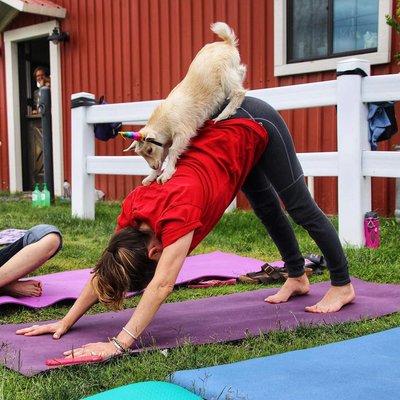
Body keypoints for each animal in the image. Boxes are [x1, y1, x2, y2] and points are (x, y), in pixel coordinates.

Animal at [125, 21, 247, 184]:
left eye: (149, 149)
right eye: (141, 154)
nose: (153, 166)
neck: (165, 119)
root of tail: (227, 42)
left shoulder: (182, 133)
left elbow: (172, 151)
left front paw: (166, 174)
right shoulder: (164, 142)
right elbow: (164, 154)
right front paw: (151, 177)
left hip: (225, 74)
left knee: (239, 92)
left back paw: (222, 115)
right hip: (233, 70)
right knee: (242, 72)